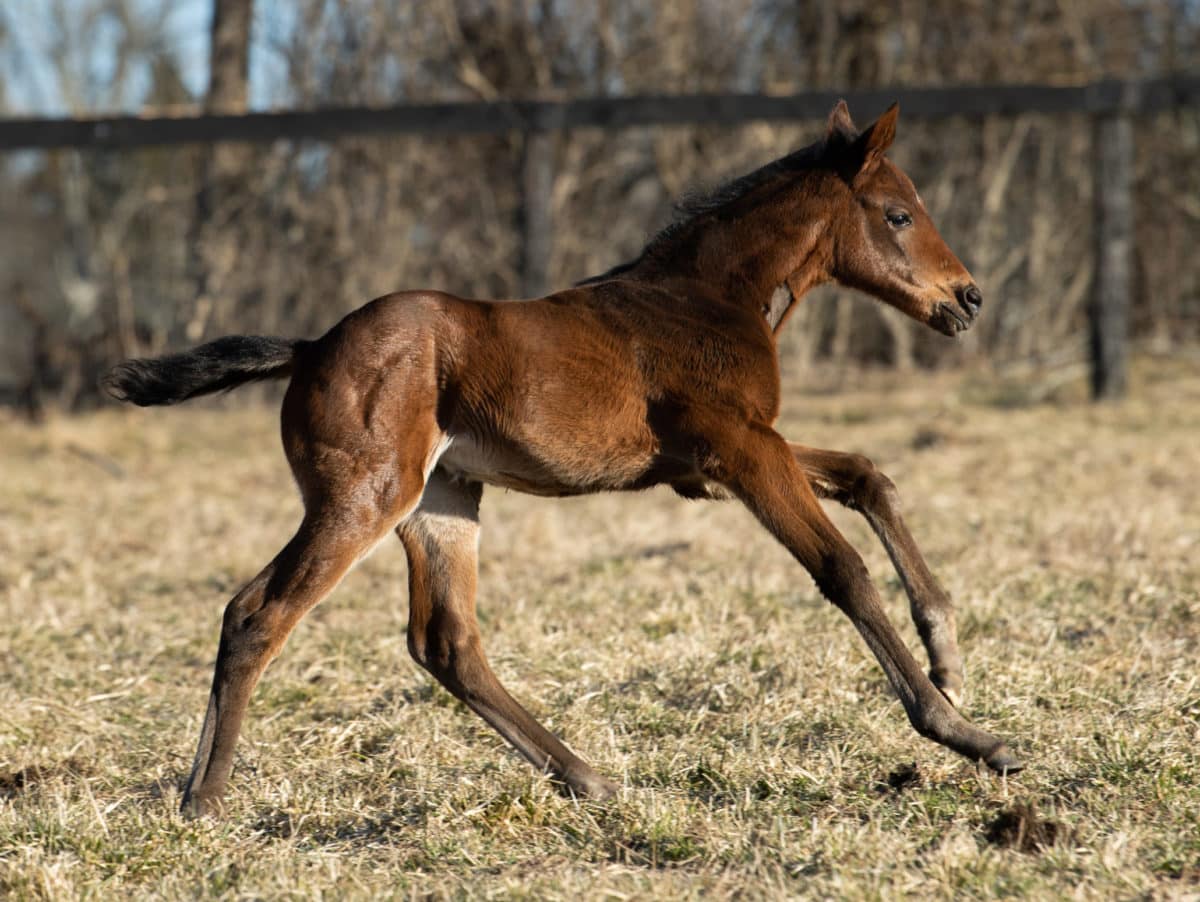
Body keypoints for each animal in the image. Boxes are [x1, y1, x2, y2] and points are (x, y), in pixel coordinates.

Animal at [105, 100, 1022, 815]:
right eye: (898, 214)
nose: (969, 297)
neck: (706, 297)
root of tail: (310, 347)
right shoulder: (737, 450)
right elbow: (841, 569)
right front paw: (965, 732)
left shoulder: (712, 465)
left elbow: (869, 475)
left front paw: (948, 652)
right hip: (364, 496)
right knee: (258, 612)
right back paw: (204, 798)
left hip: (441, 500)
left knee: (446, 641)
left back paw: (587, 777)